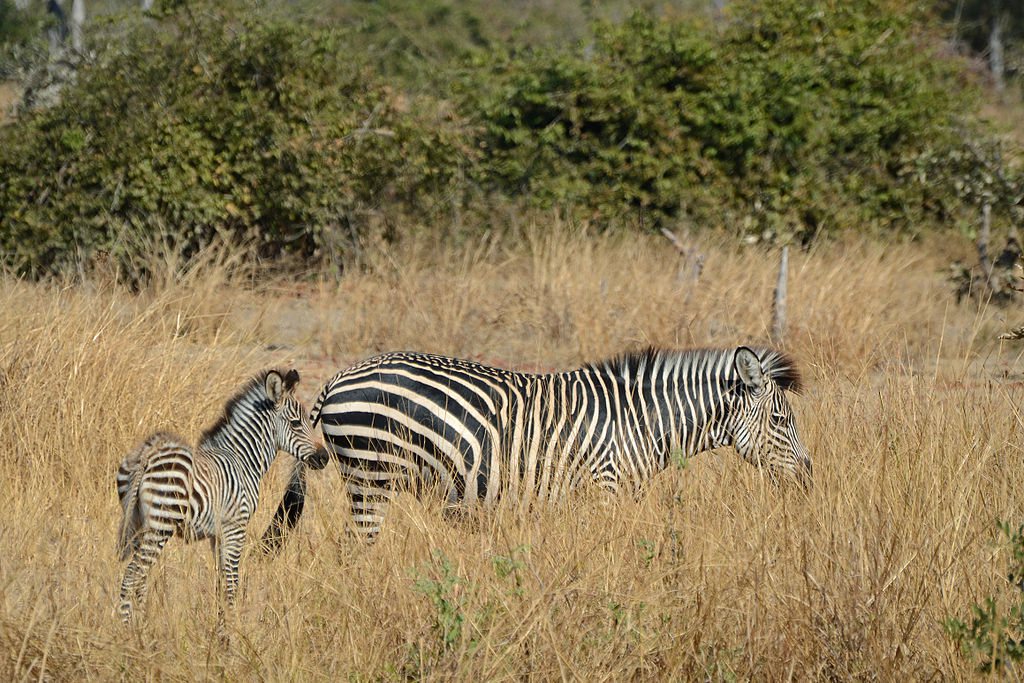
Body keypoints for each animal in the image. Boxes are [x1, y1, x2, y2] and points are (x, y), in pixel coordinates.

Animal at [117, 368, 329, 626]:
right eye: (296, 423)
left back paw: (143, 627)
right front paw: (229, 630)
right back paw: (129, 631)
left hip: (138, 523)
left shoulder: (217, 533)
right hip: (160, 524)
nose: (324, 457)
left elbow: (220, 582)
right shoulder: (235, 527)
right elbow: (231, 584)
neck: (242, 459)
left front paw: (221, 624)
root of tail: (148, 454)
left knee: (140, 578)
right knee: (132, 576)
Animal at [262, 344, 815, 548]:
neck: (638, 421)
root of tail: (337, 379)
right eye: (782, 419)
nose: (809, 478)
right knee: (356, 551)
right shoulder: (604, 488)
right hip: (370, 476)